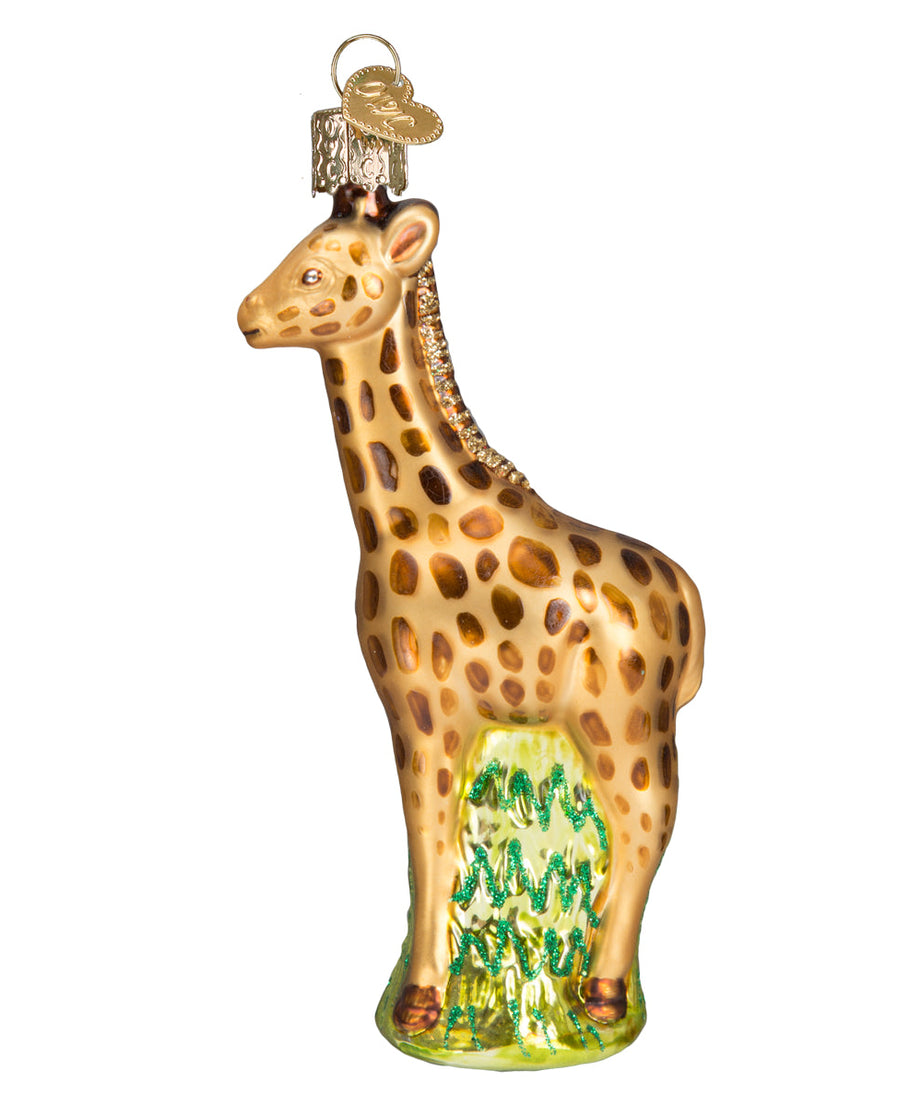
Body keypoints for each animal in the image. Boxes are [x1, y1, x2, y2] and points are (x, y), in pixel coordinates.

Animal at [237, 184, 704, 1038]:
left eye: (314, 271)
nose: (247, 314)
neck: (399, 522)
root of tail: (685, 595)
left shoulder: (424, 704)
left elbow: (430, 840)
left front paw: (419, 1002)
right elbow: (443, 841)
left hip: (624, 719)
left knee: (645, 823)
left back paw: (602, 993)